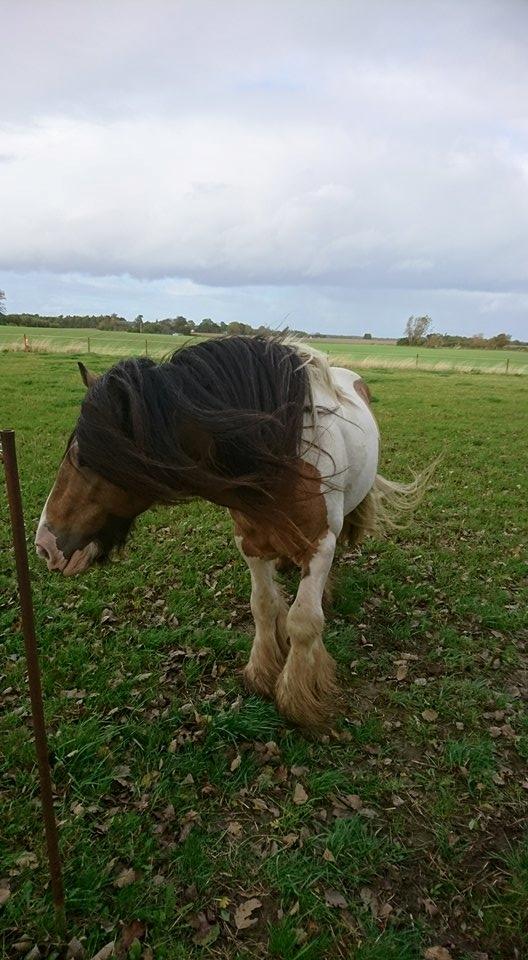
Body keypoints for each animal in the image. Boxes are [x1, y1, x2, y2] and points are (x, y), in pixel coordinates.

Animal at [36, 338, 424, 728]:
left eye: (84, 458)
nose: (44, 545)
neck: (277, 457)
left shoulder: (320, 545)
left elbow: (303, 621)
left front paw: (298, 699)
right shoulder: (250, 544)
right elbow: (264, 606)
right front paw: (262, 672)